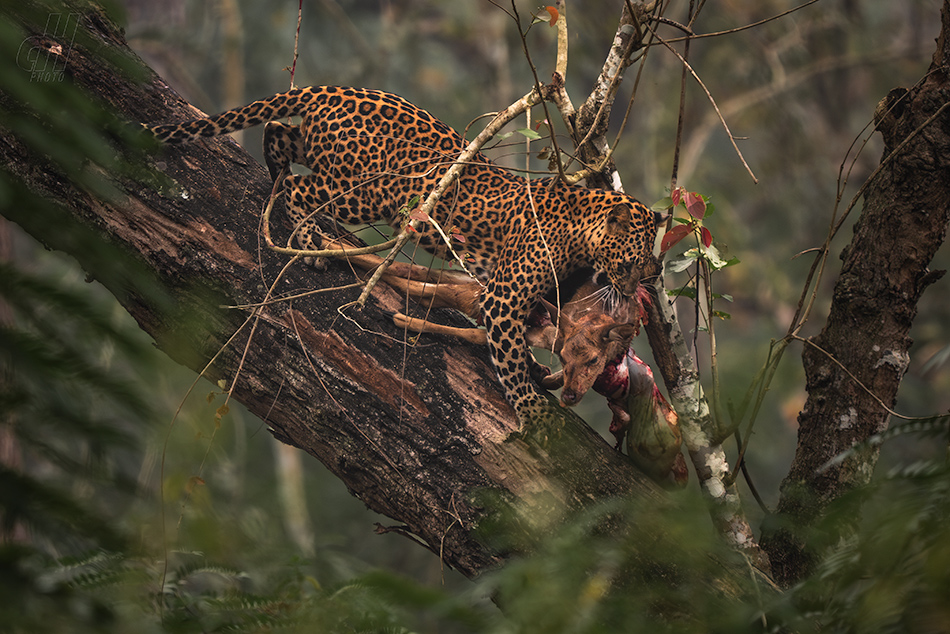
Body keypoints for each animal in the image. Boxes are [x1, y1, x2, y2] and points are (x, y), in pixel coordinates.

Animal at [149, 82, 660, 420]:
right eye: (635, 261)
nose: (649, 279)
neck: (582, 234)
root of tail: (325, 90)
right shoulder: (503, 295)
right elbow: (509, 354)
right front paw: (533, 410)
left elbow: (522, 341)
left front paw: (537, 372)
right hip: (369, 191)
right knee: (300, 189)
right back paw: (308, 238)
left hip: (320, 151)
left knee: (277, 133)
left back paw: (276, 182)